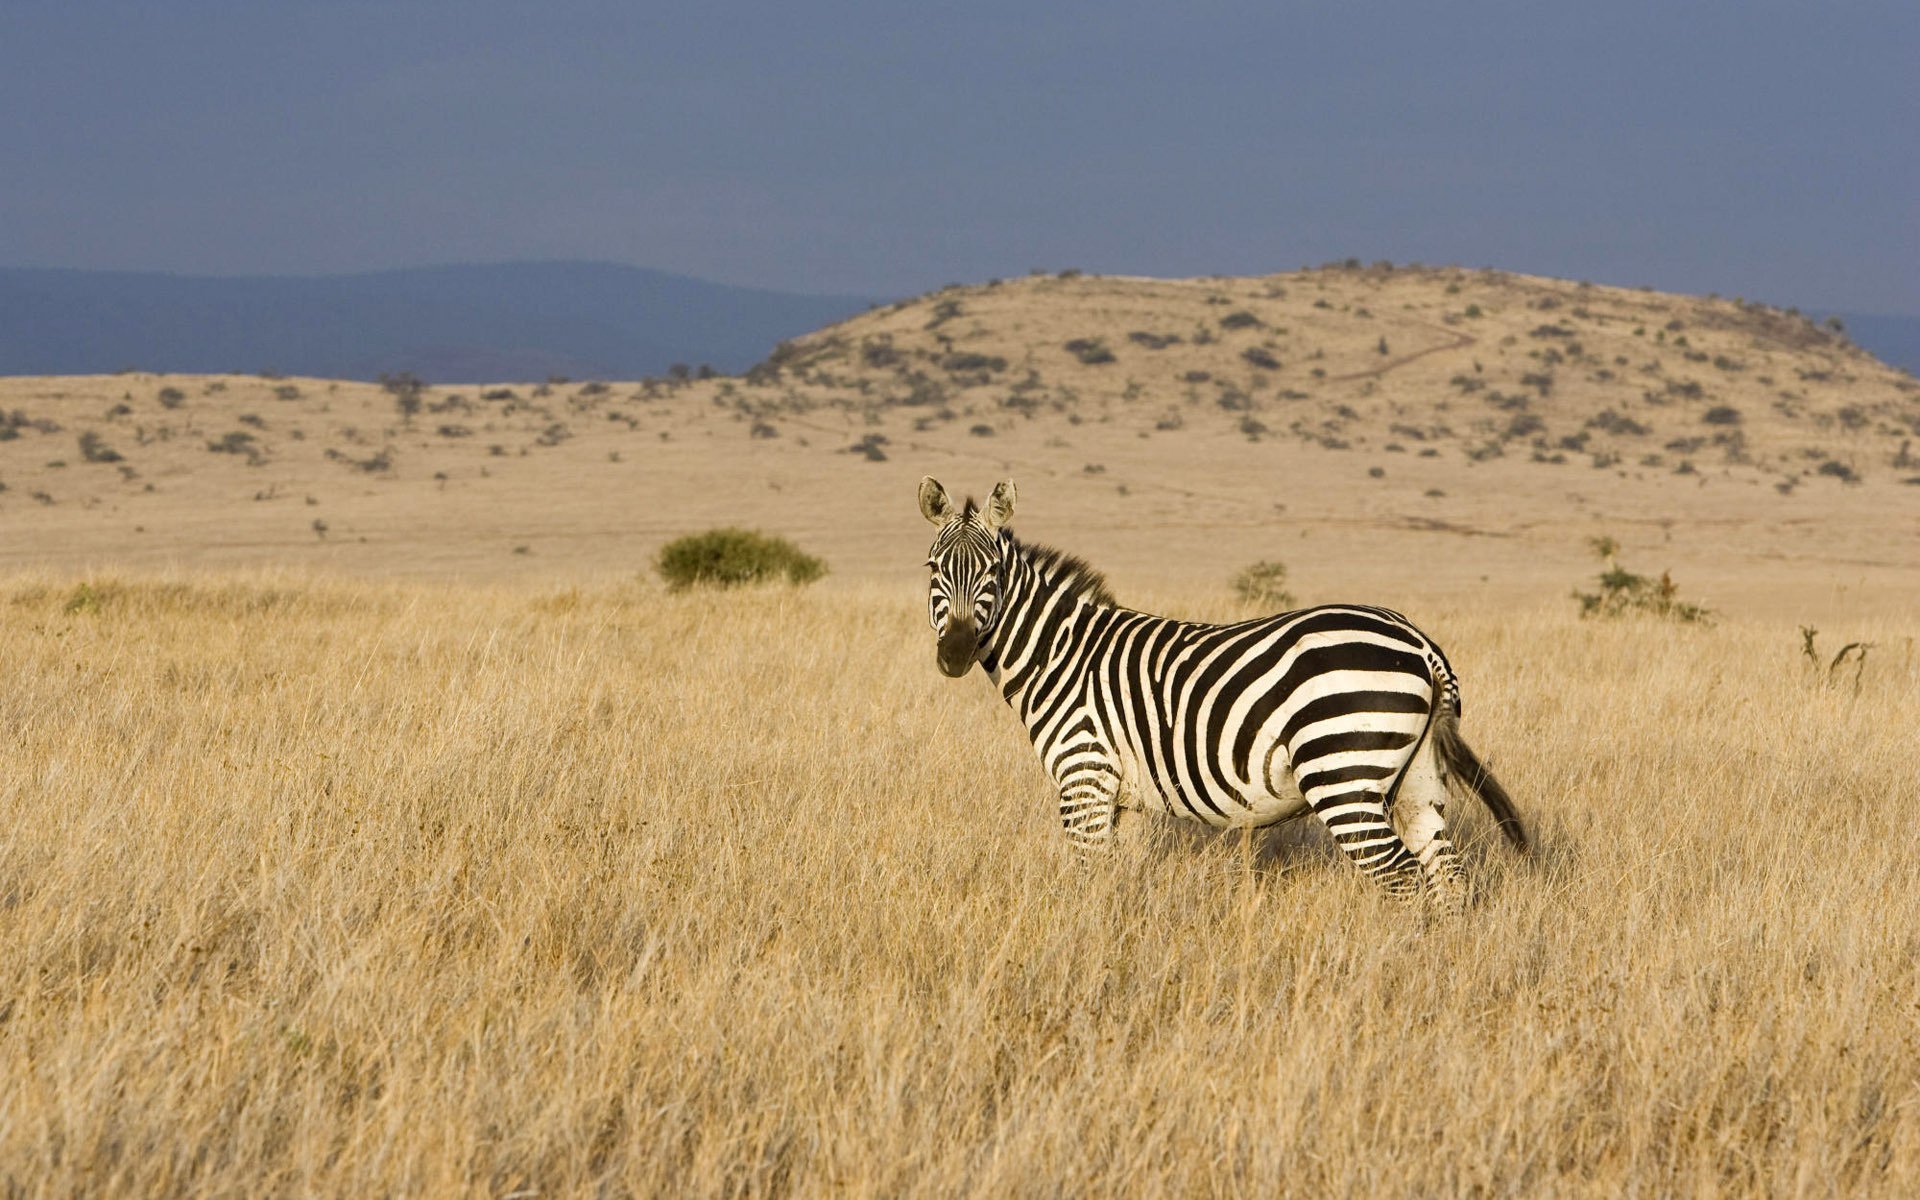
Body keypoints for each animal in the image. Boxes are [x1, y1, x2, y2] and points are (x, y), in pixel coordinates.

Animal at [918, 476, 1528, 908]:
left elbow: (1088, 880)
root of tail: (1419, 642)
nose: (955, 654)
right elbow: (1118, 882)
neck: (1063, 655)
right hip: (1417, 779)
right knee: (1446, 876)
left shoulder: (1083, 778)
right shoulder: (1126, 799)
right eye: (933, 568)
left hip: (1343, 773)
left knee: (1400, 877)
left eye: (992, 572)